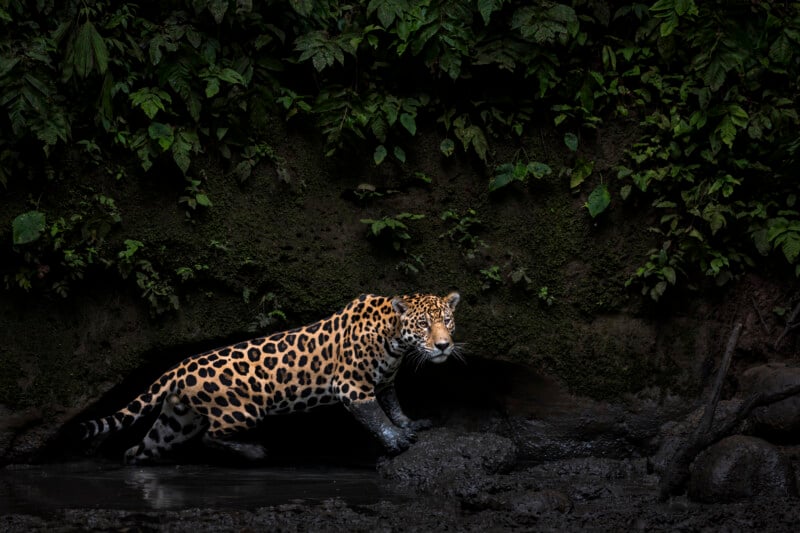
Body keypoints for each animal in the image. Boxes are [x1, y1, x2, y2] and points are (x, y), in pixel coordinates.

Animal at [79, 291, 462, 463]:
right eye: (423, 325)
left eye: (447, 321)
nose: (443, 345)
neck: (395, 337)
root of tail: (179, 367)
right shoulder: (352, 388)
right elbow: (376, 417)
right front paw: (396, 441)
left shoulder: (383, 383)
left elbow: (393, 406)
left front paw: (410, 424)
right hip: (243, 410)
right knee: (210, 437)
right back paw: (254, 451)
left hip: (176, 422)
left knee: (140, 448)